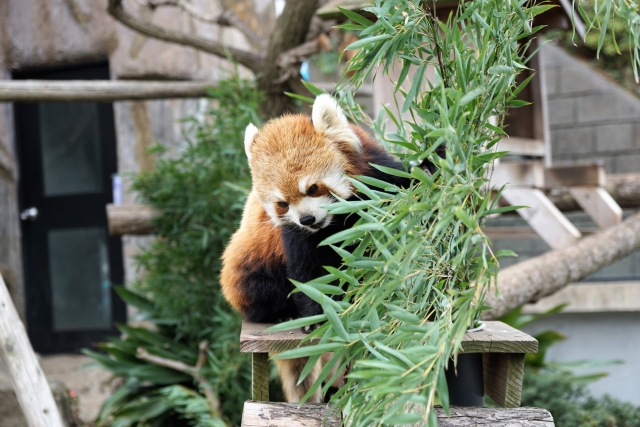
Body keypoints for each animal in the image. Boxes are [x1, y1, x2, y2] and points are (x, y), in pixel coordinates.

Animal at [221, 94, 436, 404]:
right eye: (282, 204)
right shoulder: (294, 235)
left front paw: (434, 165)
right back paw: (283, 314)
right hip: (247, 270)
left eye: (312, 188)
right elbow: (308, 273)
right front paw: (317, 316)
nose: (307, 219)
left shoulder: (377, 174)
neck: (335, 221)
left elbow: (406, 186)